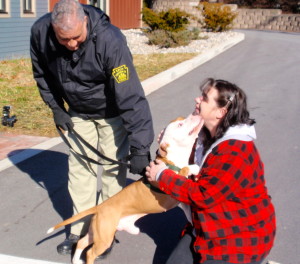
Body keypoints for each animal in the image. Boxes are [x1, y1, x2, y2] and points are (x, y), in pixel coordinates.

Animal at [48, 113, 203, 264]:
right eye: (180, 124)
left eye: (181, 119)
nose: (196, 113)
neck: (172, 158)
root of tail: (100, 207)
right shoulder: (171, 181)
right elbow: (184, 170)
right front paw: (194, 167)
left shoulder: (183, 200)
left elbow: (189, 213)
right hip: (104, 237)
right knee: (90, 253)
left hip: (97, 232)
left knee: (81, 242)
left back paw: (76, 260)